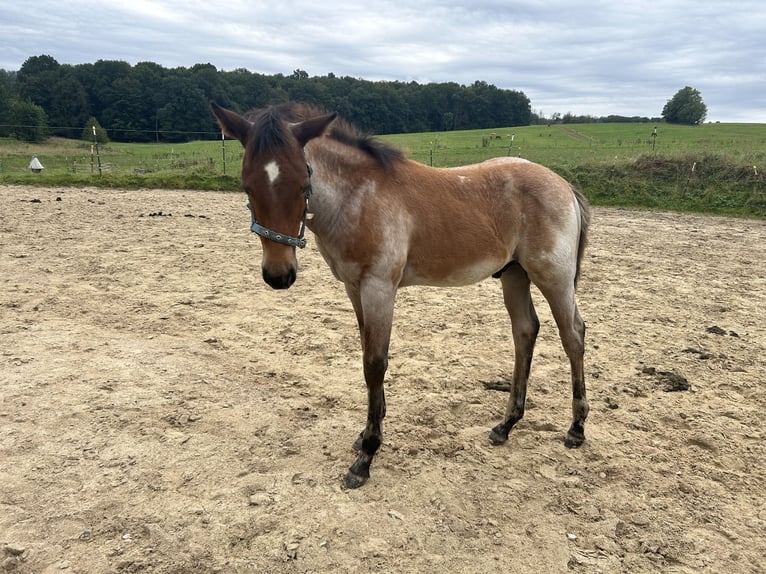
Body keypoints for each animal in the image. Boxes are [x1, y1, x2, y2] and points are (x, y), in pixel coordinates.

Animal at [210, 101, 592, 488]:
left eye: (304, 183)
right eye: (246, 186)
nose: (279, 275)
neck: (359, 199)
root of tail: (565, 186)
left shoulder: (379, 287)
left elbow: (374, 363)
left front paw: (366, 456)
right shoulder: (353, 288)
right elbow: (367, 353)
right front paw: (365, 434)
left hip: (554, 277)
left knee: (572, 336)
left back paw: (576, 428)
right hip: (514, 275)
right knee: (525, 331)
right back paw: (506, 424)